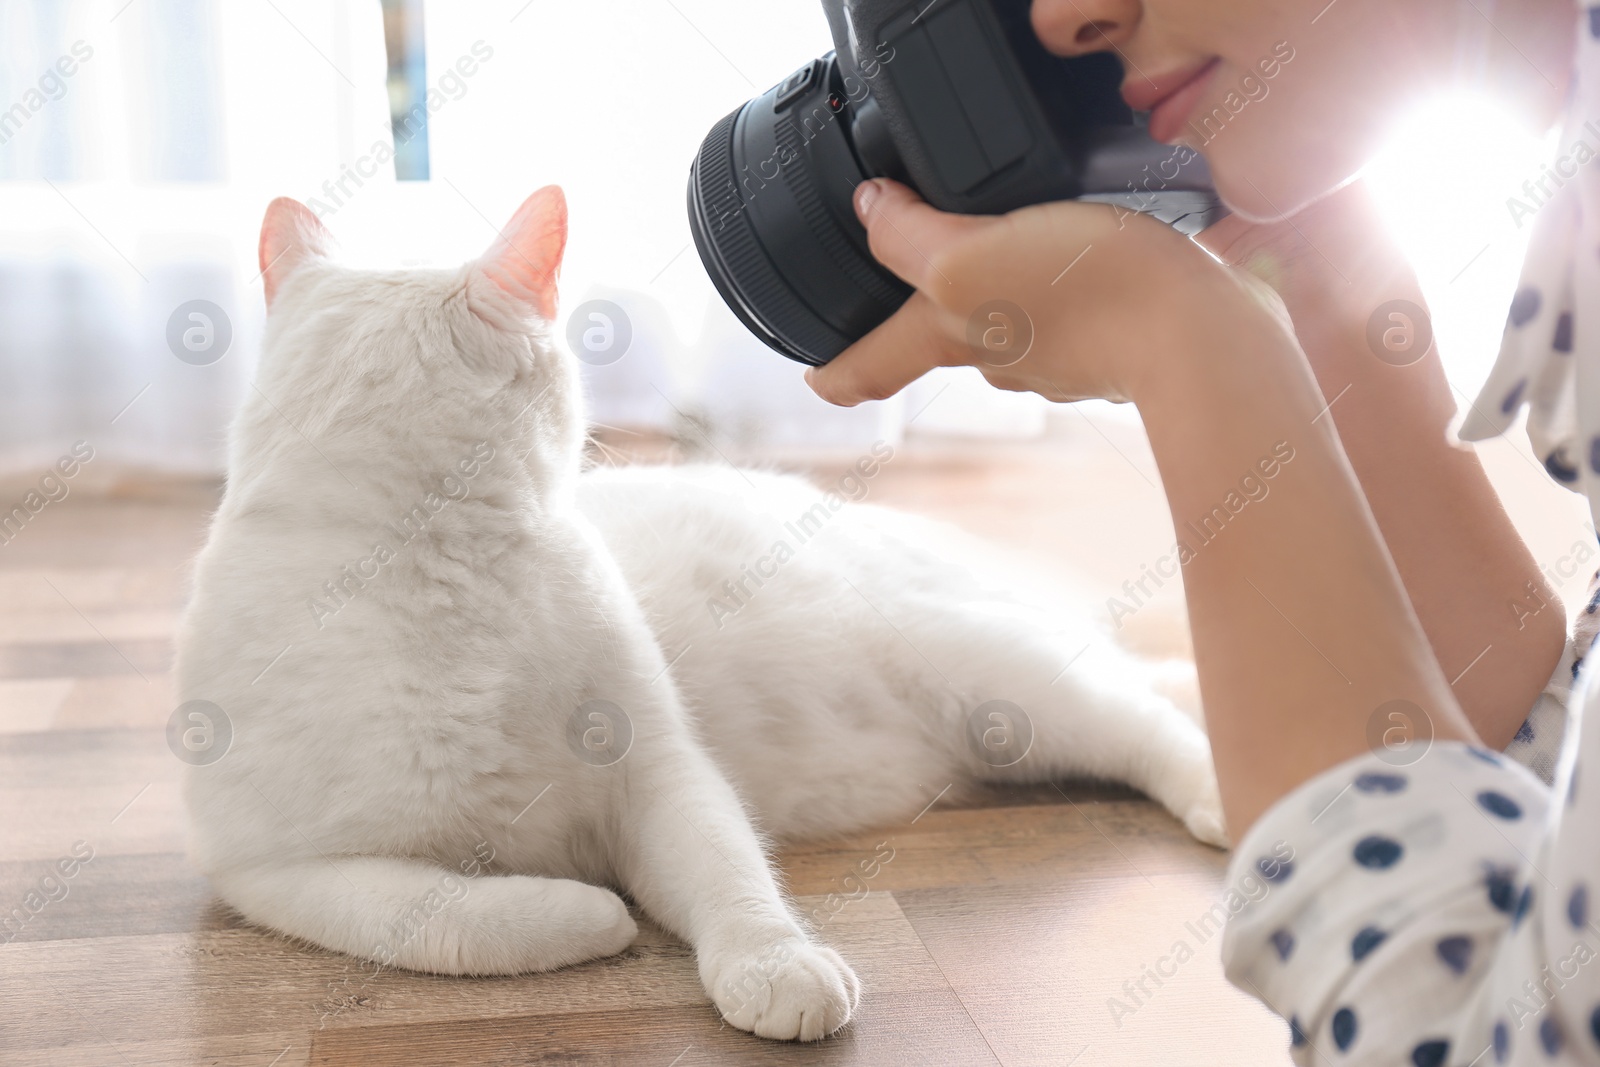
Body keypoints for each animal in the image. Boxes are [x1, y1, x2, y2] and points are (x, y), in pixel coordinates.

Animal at [178, 187, 1222, 1036]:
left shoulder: (662, 774)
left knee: (1150, 723)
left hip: (1001, 681)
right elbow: (454, 916)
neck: (419, 559)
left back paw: (1221, 800)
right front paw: (590, 911)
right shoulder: (283, 873)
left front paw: (777, 970)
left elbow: (730, 875)